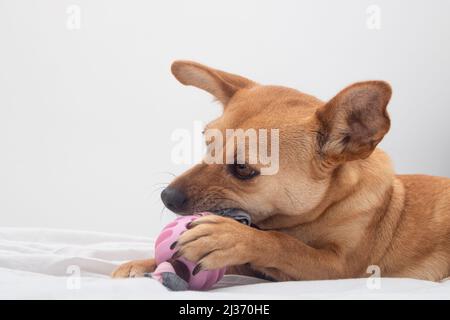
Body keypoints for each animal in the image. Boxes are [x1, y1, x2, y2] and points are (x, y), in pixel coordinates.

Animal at [112, 61, 450, 282]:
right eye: (207, 144)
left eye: (243, 168)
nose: (166, 197)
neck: (321, 211)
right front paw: (144, 262)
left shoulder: (339, 267)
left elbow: (282, 244)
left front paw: (229, 236)